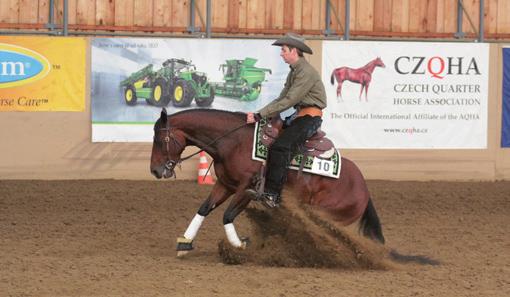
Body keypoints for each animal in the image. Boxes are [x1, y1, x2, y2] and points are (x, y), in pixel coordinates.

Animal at [149, 108, 384, 254]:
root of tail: (363, 189)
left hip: (327, 217)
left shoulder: (247, 188)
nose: (154, 170)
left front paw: (239, 246)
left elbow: (227, 215)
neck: (234, 142)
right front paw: (185, 242)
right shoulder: (225, 184)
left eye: (160, 140)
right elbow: (204, 209)